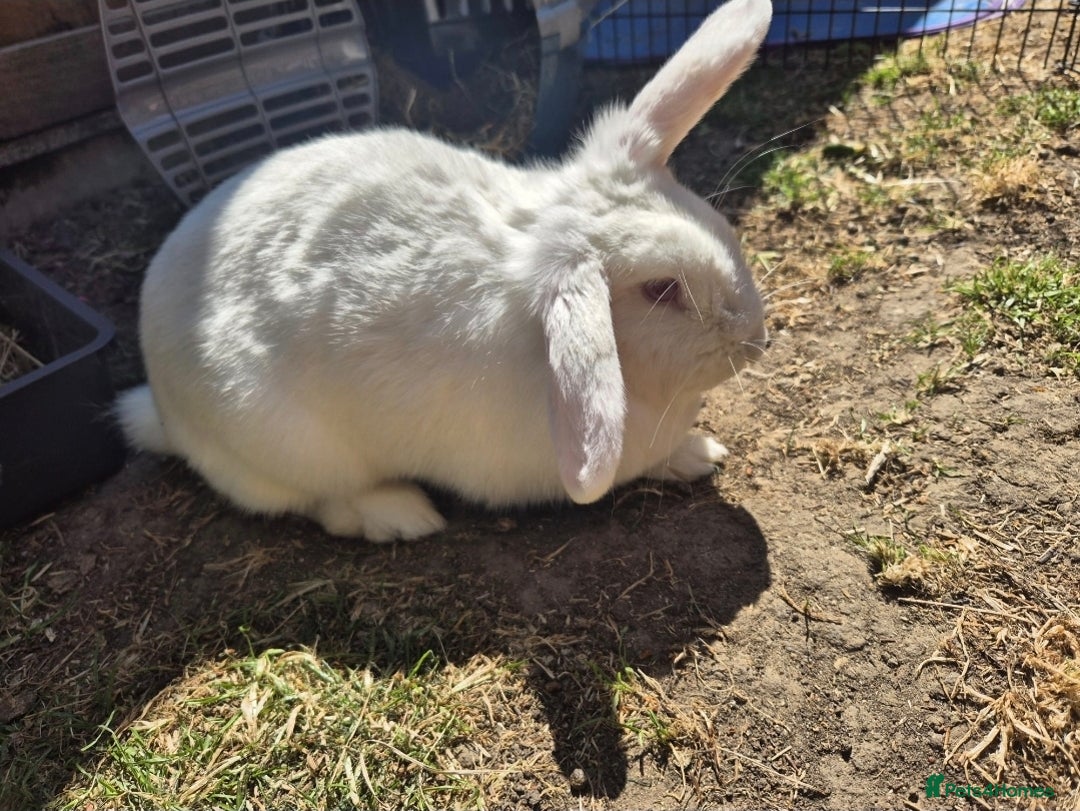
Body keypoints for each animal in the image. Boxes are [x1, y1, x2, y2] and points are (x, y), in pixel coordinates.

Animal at [115, 0, 772, 542]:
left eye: (717, 222)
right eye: (661, 291)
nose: (756, 341)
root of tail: (162, 407)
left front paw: (700, 453)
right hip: (291, 450)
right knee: (326, 505)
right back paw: (404, 516)